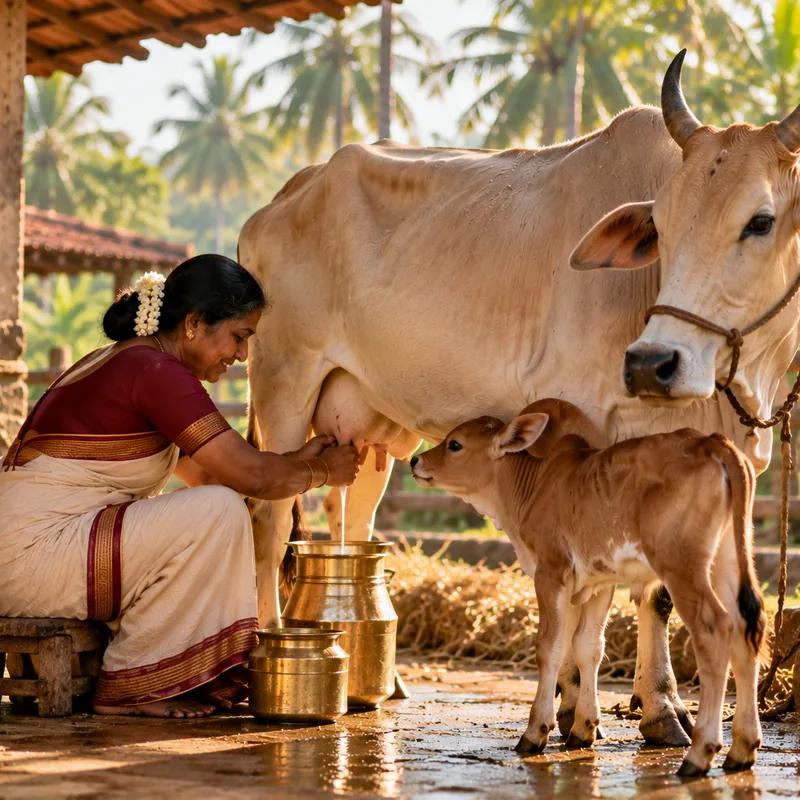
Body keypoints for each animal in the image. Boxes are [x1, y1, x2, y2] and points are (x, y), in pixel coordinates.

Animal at [408, 398, 768, 777]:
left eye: (455, 444)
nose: (416, 461)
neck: (537, 485)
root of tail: (711, 442)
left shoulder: (551, 571)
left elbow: (550, 646)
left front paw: (536, 731)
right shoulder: (598, 581)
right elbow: (587, 647)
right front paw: (584, 728)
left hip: (681, 564)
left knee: (715, 630)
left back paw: (700, 753)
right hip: (727, 559)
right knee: (745, 631)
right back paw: (742, 749)